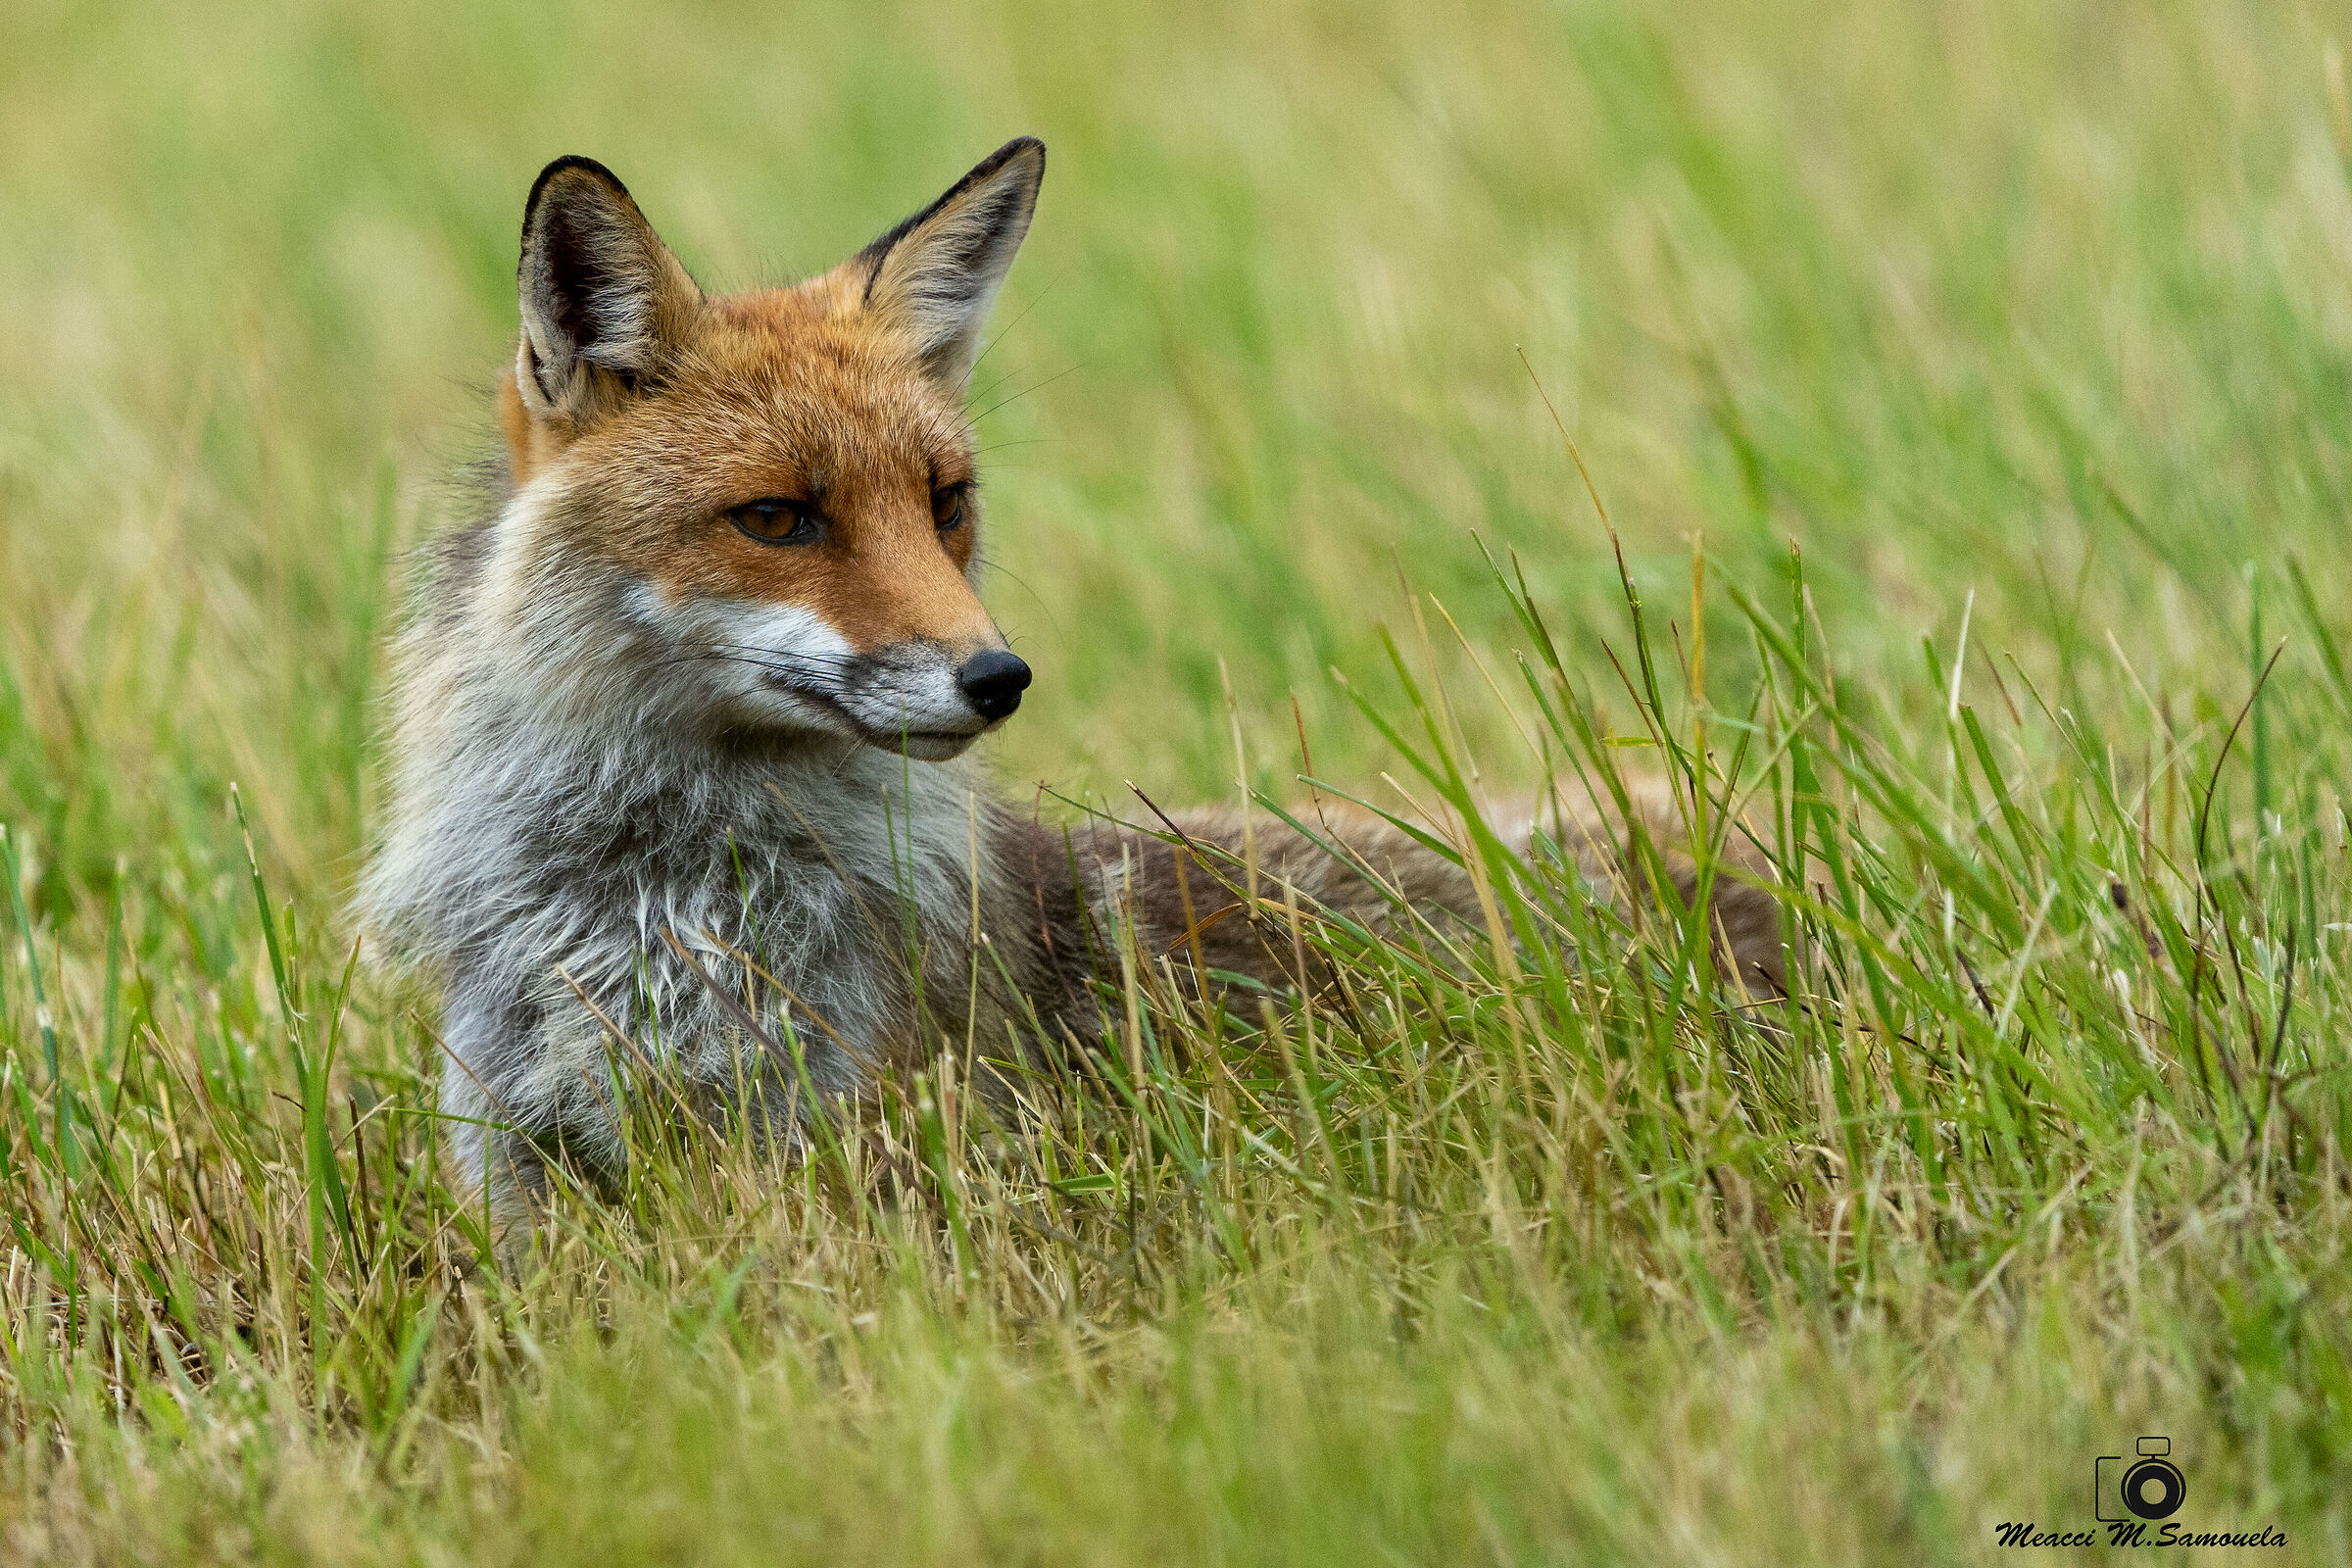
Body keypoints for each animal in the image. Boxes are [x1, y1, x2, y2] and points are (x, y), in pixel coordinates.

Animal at [360, 137, 1786, 1230]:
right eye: (777, 519)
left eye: (945, 503)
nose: (998, 676)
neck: (650, 906)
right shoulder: (518, 1167)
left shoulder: (844, 1159)